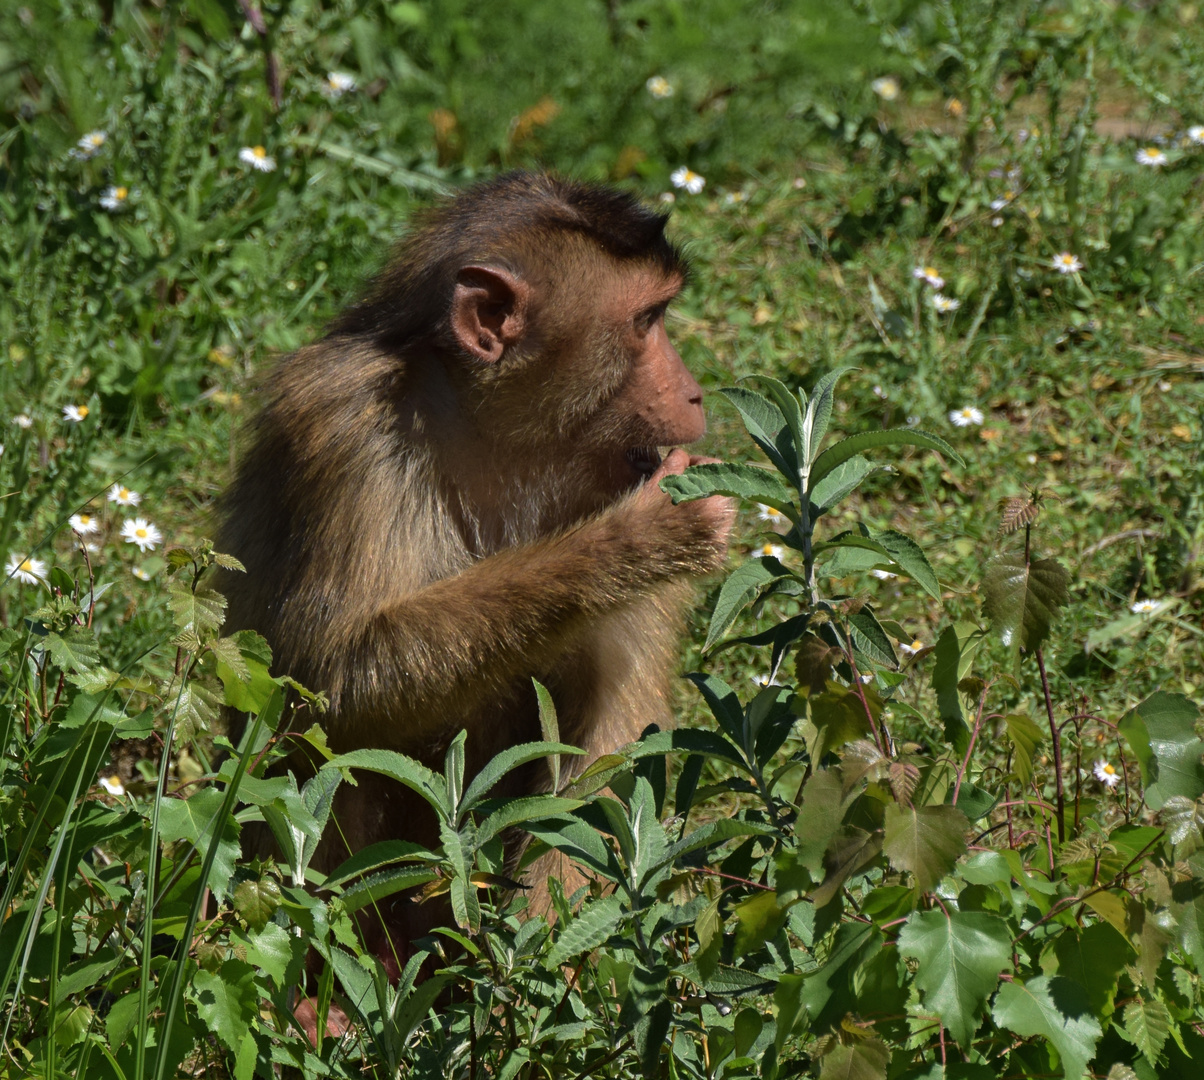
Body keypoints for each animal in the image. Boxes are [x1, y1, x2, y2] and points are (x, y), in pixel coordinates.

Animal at [221, 170, 736, 977]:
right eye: (648, 320)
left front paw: (545, 971)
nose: (694, 392)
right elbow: (326, 679)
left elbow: (607, 744)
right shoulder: (342, 431)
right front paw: (632, 539)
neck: (497, 435)